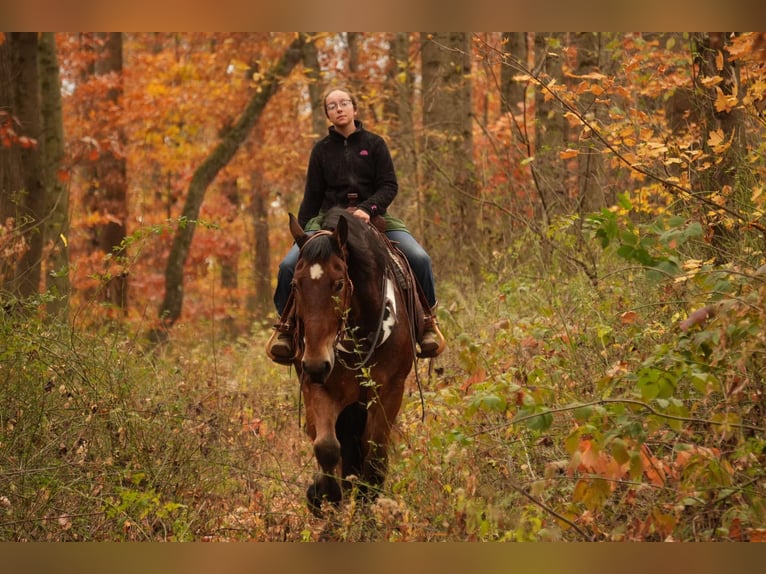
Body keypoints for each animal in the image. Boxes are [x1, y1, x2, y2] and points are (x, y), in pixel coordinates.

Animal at [288, 207, 420, 516]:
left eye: (338, 284)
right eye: (295, 285)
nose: (316, 364)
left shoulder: (389, 391)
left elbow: (374, 455)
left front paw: (366, 508)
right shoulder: (320, 387)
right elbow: (326, 447)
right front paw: (325, 497)